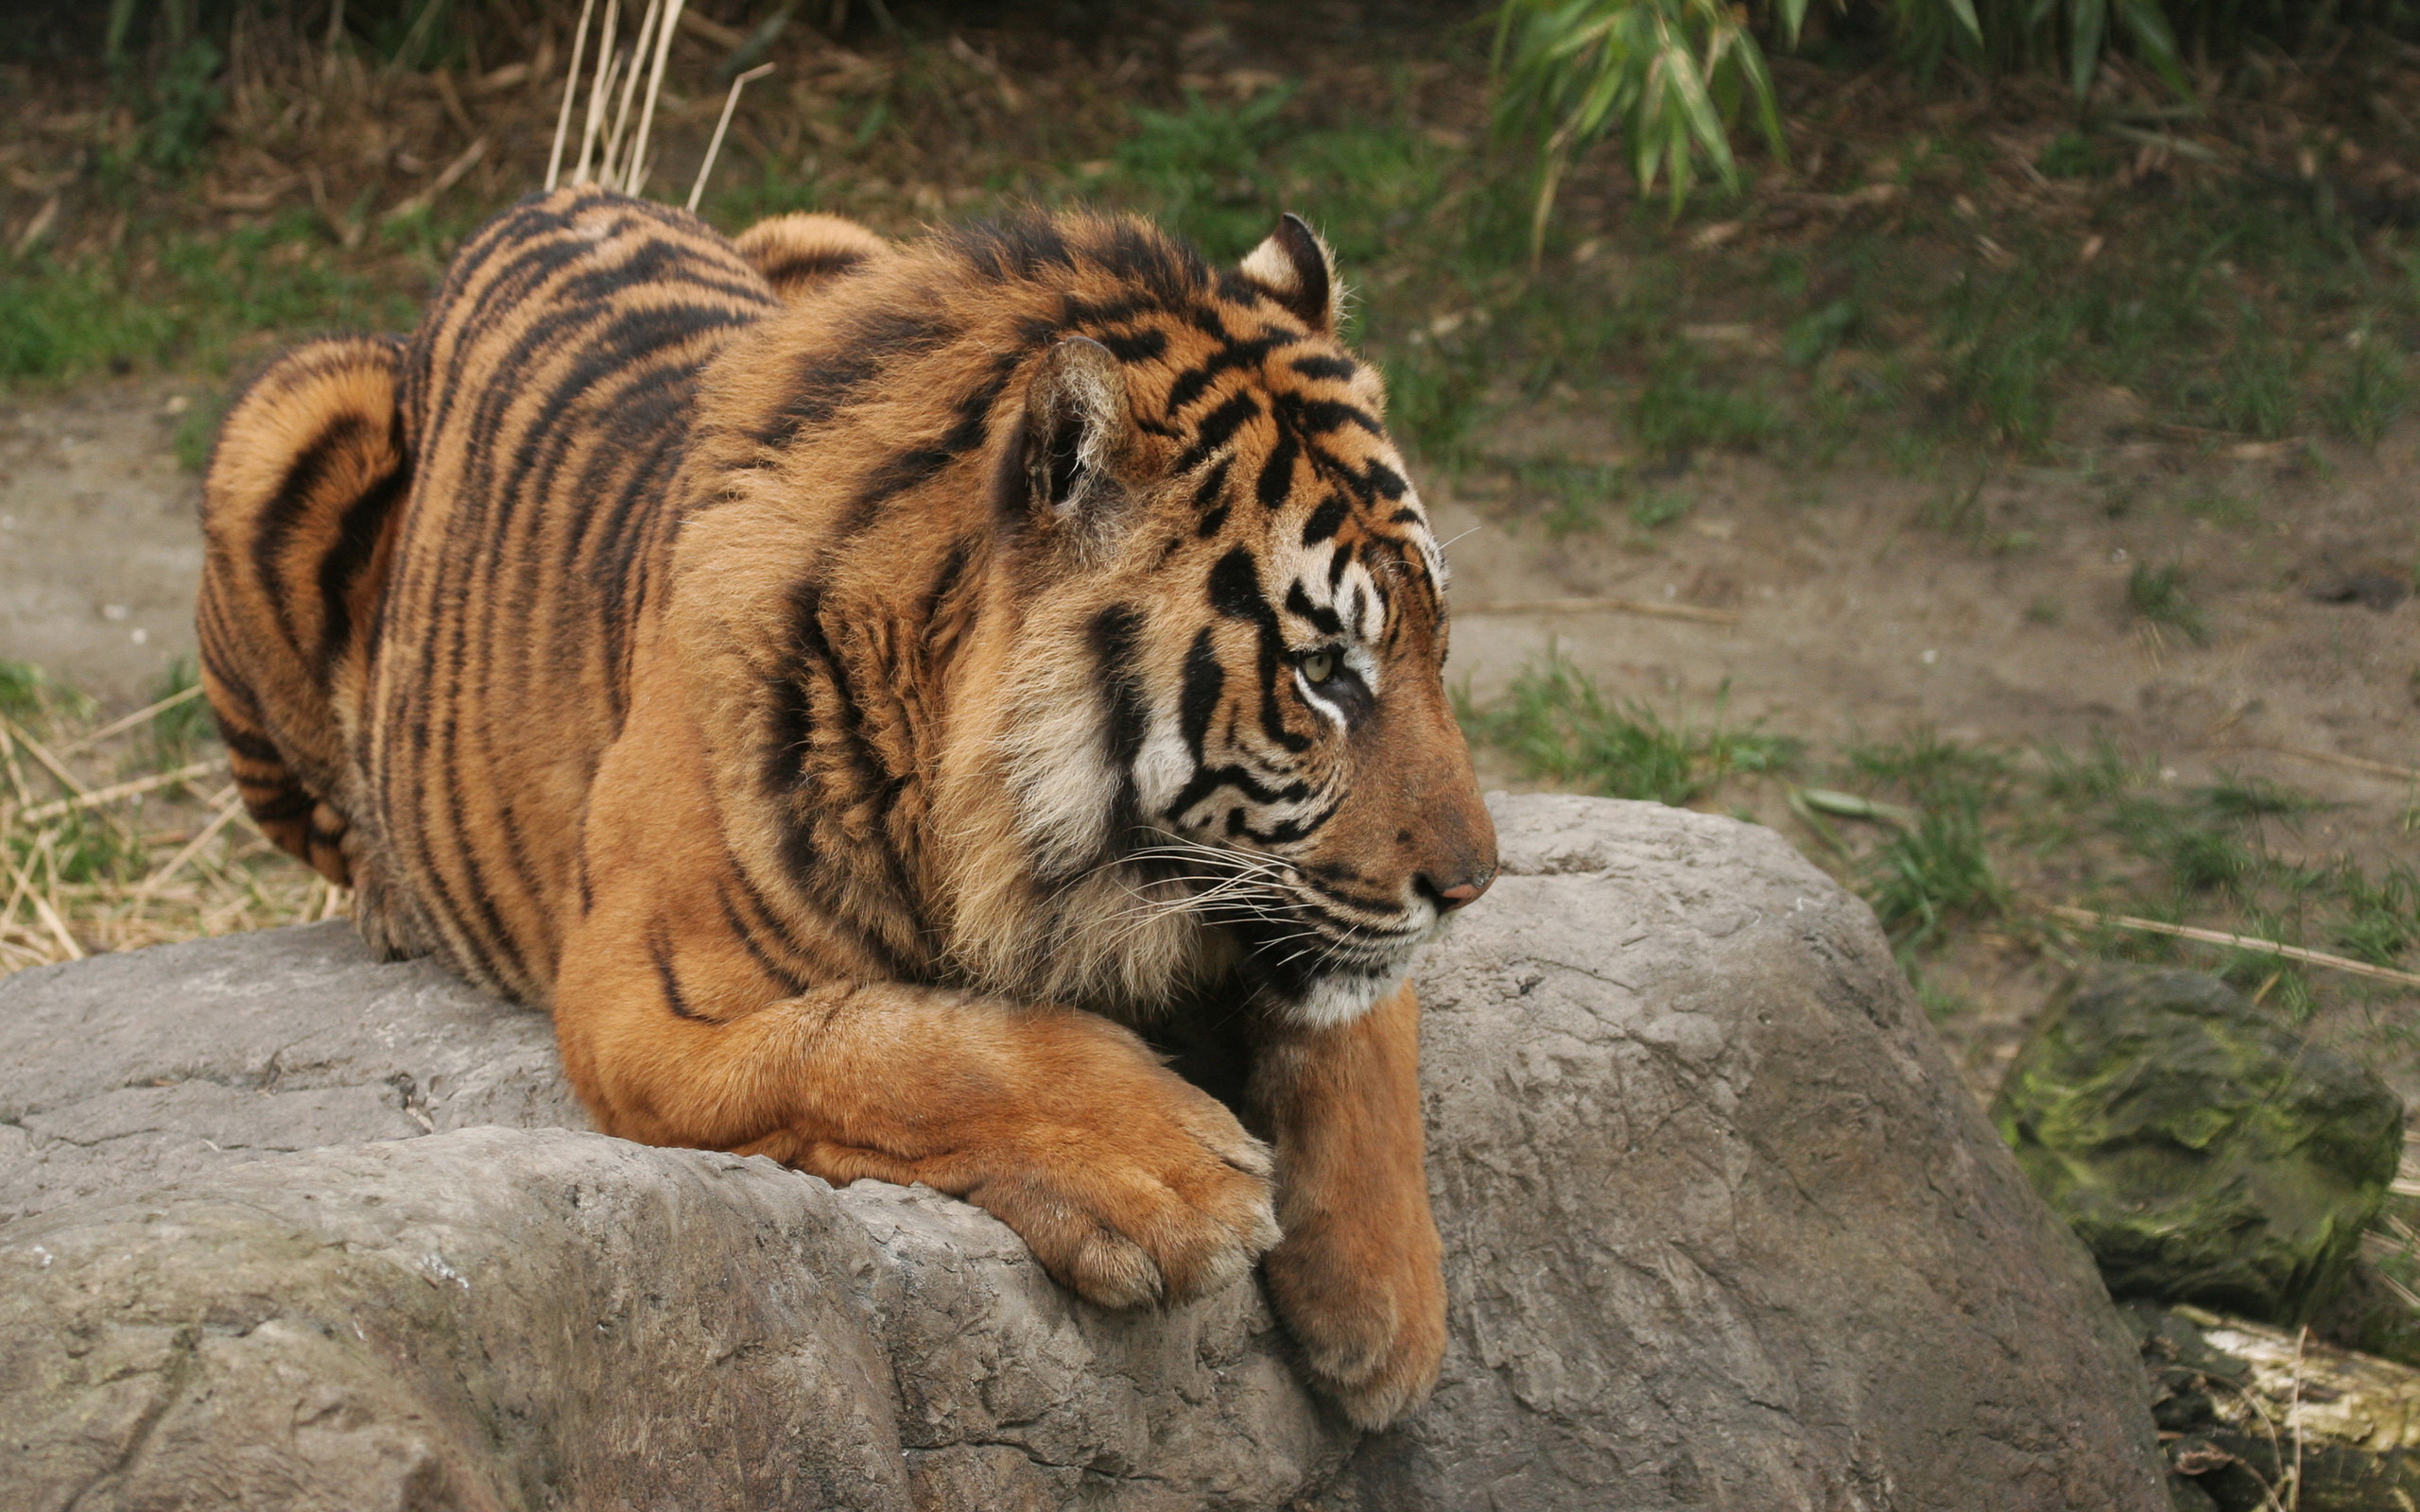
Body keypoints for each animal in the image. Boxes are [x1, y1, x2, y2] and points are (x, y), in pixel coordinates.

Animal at [198, 188, 1490, 1422]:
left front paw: (1387, 1310)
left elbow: (1363, 1026)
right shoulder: (640, 999)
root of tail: (546, 199)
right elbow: (894, 1045)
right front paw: (1173, 1174)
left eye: (1434, 642)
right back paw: (386, 899)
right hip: (281, 420)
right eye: (1321, 671)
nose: (1475, 884)